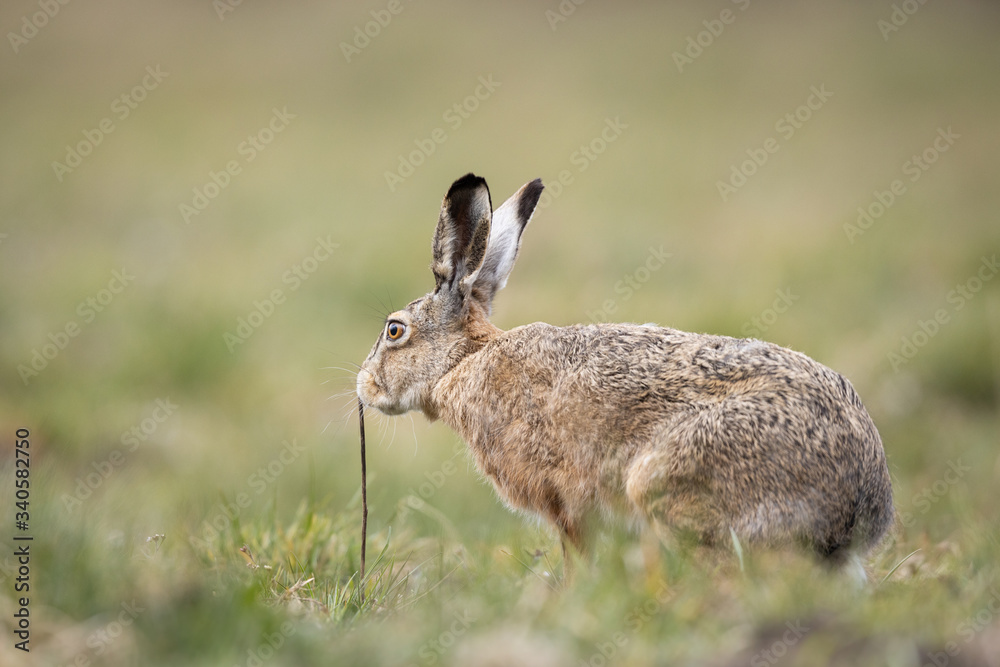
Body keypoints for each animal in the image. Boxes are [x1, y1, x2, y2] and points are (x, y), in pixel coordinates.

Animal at [357, 173, 894, 575]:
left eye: (394, 331)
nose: (363, 386)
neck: (464, 361)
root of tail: (858, 510)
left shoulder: (567, 501)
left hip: (664, 482)